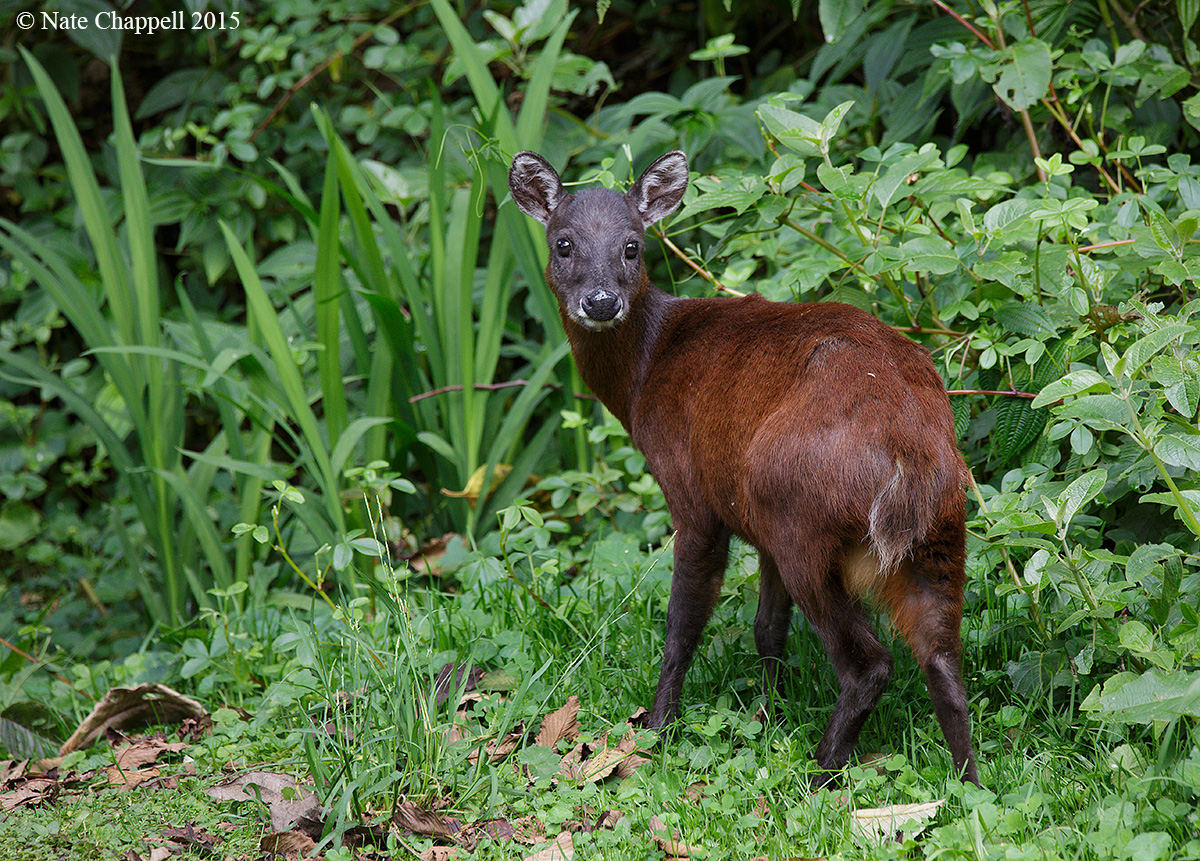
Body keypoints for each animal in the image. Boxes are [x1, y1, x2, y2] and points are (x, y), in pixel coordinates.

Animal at [507, 149, 980, 787]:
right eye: (563, 243)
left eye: (633, 245)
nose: (602, 302)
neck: (643, 374)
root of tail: (913, 447)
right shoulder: (754, 523)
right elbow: (767, 630)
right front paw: (768, 715)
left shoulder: (695, 498)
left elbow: (682, 626)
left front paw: (656, 729)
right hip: (934, 535)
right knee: (943, 661)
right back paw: (968, 787)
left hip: (804, 522)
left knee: (871, 664)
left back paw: (821, 774)